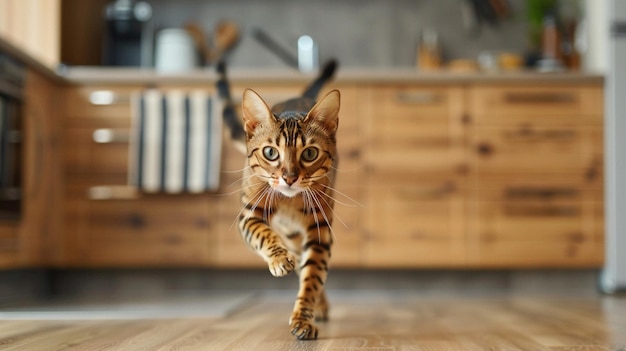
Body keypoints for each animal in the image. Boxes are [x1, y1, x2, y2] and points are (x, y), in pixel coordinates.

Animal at [217, 61, 338, 340]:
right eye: (271, 152)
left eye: (310, 153)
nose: (290, 178)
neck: (288, 202)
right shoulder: (249, 215)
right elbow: (263, 234)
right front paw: (279, 259)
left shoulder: (319, 230)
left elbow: (313, 276)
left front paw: (303, 318)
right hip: (290, 234)